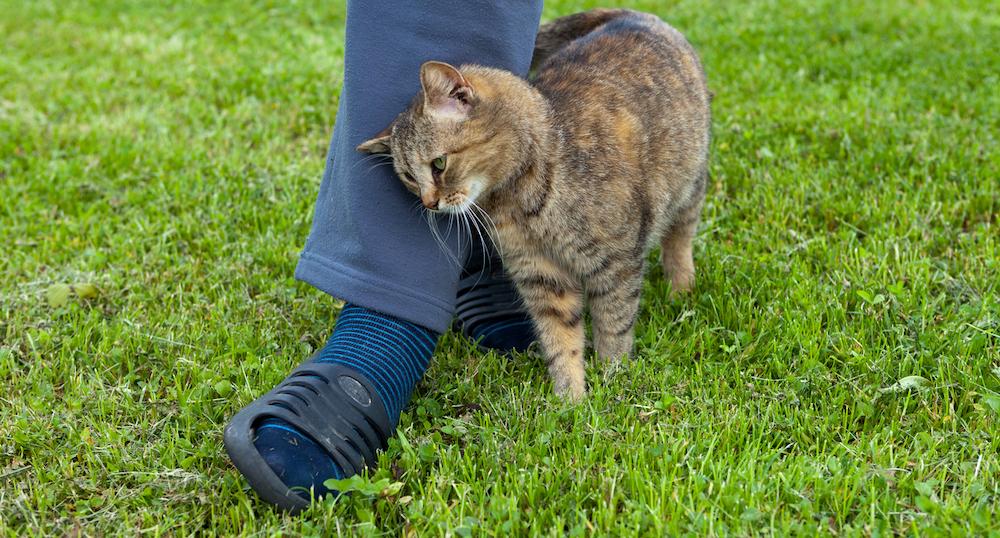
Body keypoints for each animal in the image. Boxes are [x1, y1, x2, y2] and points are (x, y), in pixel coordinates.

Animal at [356, 8, 708, 398]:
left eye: (439, 164)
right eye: (408, 177)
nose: (429, 203)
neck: (519, 202)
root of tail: (632, 13)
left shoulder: (615, 265)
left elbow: (614, 326)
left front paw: (613, 377)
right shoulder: (541, 275)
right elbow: (561, 339)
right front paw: (571, 397)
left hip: (690, 187)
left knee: (679, 238)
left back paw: (681, 288)